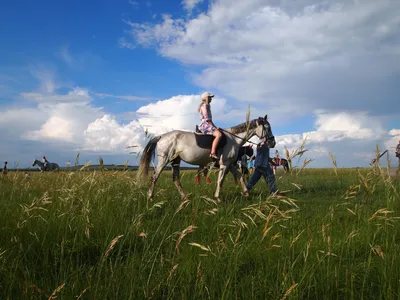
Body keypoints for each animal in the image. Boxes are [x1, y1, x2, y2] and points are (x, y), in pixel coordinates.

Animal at [138, 115, 276, 202]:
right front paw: (218, 198)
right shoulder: (224, 165)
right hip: (164, 160)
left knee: (176, 179)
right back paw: (150, 198)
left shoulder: (230, 164)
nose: (272, 143)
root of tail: (162, 136)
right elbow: (220, 181)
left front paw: (246, 193)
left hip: (175, 162)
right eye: (267, 128)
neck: (233, 139)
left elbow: (240, 176)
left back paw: (185, 198)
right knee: (154, 177)